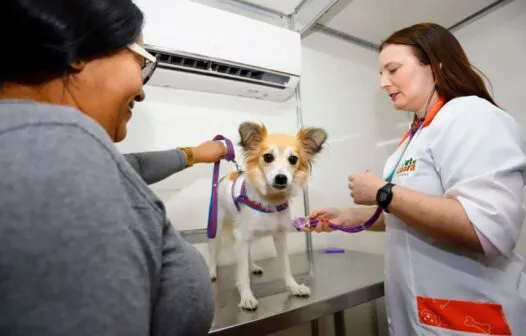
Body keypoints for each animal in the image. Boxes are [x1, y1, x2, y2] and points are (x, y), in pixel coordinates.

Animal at [208, 121, 328, 310]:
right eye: (268, 157)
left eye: (293, 159)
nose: (281, 178)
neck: (270, 200)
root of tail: (226, 176)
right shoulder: (242, 236)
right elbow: (242, 273)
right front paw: (246, 296)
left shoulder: (279, 237)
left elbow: (286, 266)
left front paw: (294, 287)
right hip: (216, 228)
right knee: (214, 252)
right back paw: (212, 271)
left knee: (247, 255)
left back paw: (253, 266)